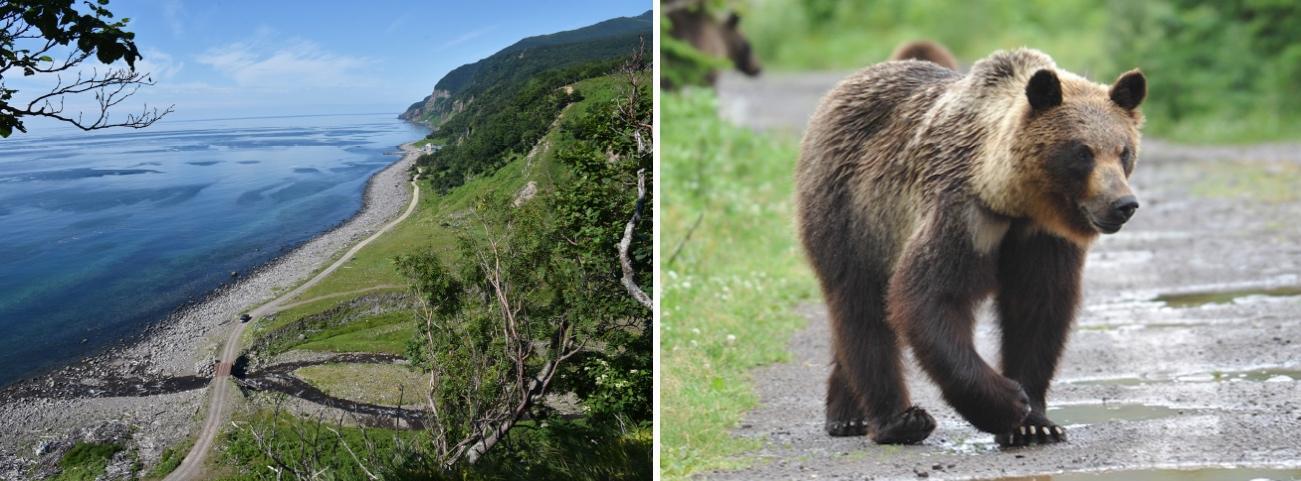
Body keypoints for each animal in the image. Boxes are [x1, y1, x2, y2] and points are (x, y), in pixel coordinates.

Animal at [791, 48, 1150, 447]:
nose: (1123, 204)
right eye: (1082, 152)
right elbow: (931, 297)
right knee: (860, 307)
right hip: (854, 213)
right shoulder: (965, 215)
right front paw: (1009, 403)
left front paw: (1036, 423)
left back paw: (849, 414)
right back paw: (895, 420)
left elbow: (1038, 309)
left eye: (1123, 151)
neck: (1013, 200)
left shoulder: (1041, 237)